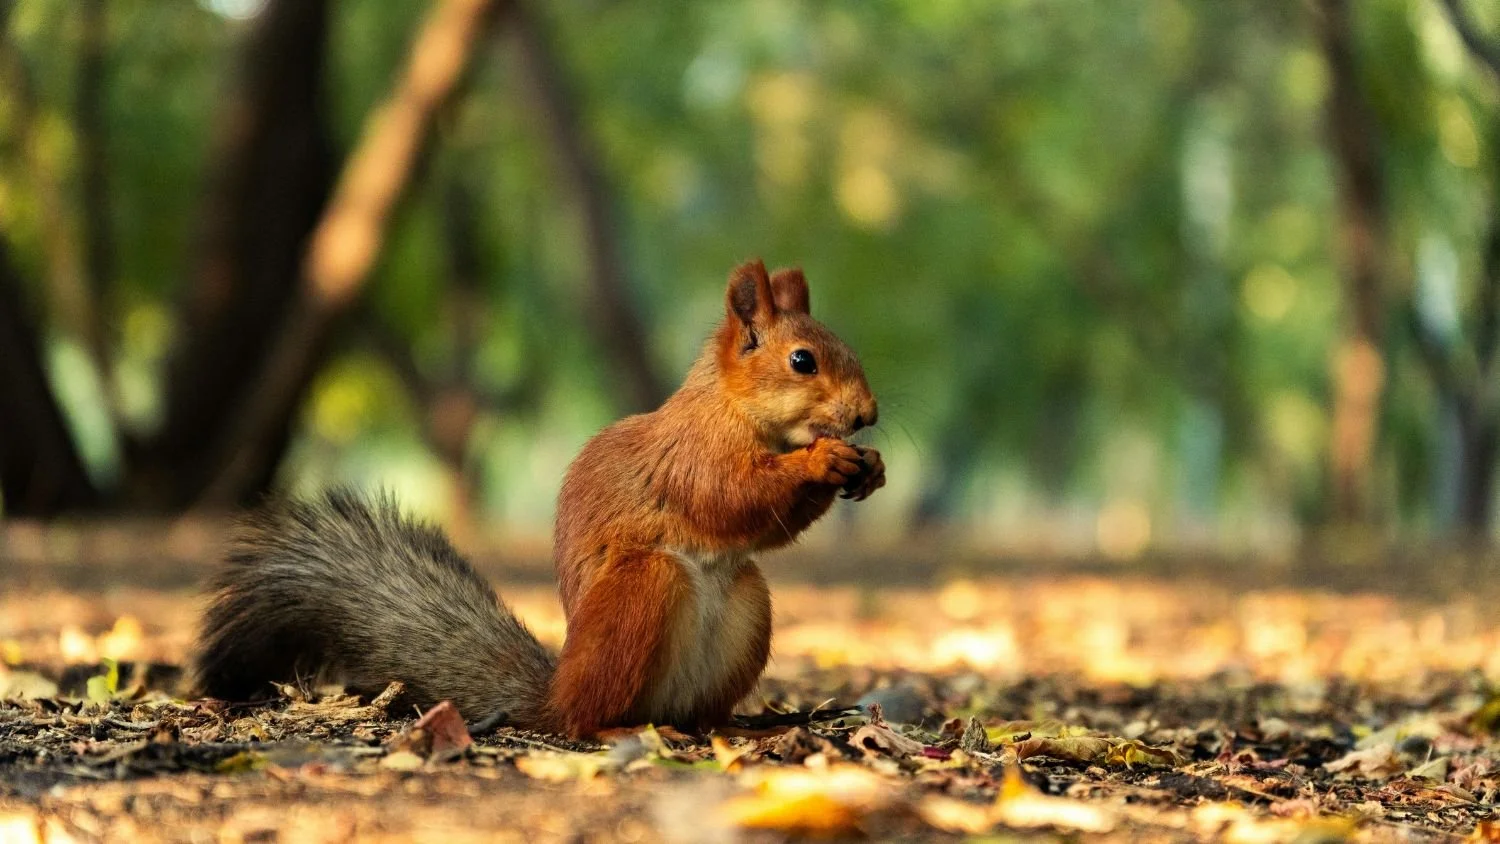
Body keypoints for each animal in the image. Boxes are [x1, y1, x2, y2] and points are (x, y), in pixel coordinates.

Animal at [193, 259, 884, 738]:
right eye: (802, 360)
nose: (868, 416)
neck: (735, 411)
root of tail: (555, 694)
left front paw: (869, 467)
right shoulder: (691, 458)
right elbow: (733, 497)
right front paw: (821, 459)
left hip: (746, 605)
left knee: (698, 708)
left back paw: (735, 725)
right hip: (641, 589)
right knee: (586, 719)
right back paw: (617, 727)